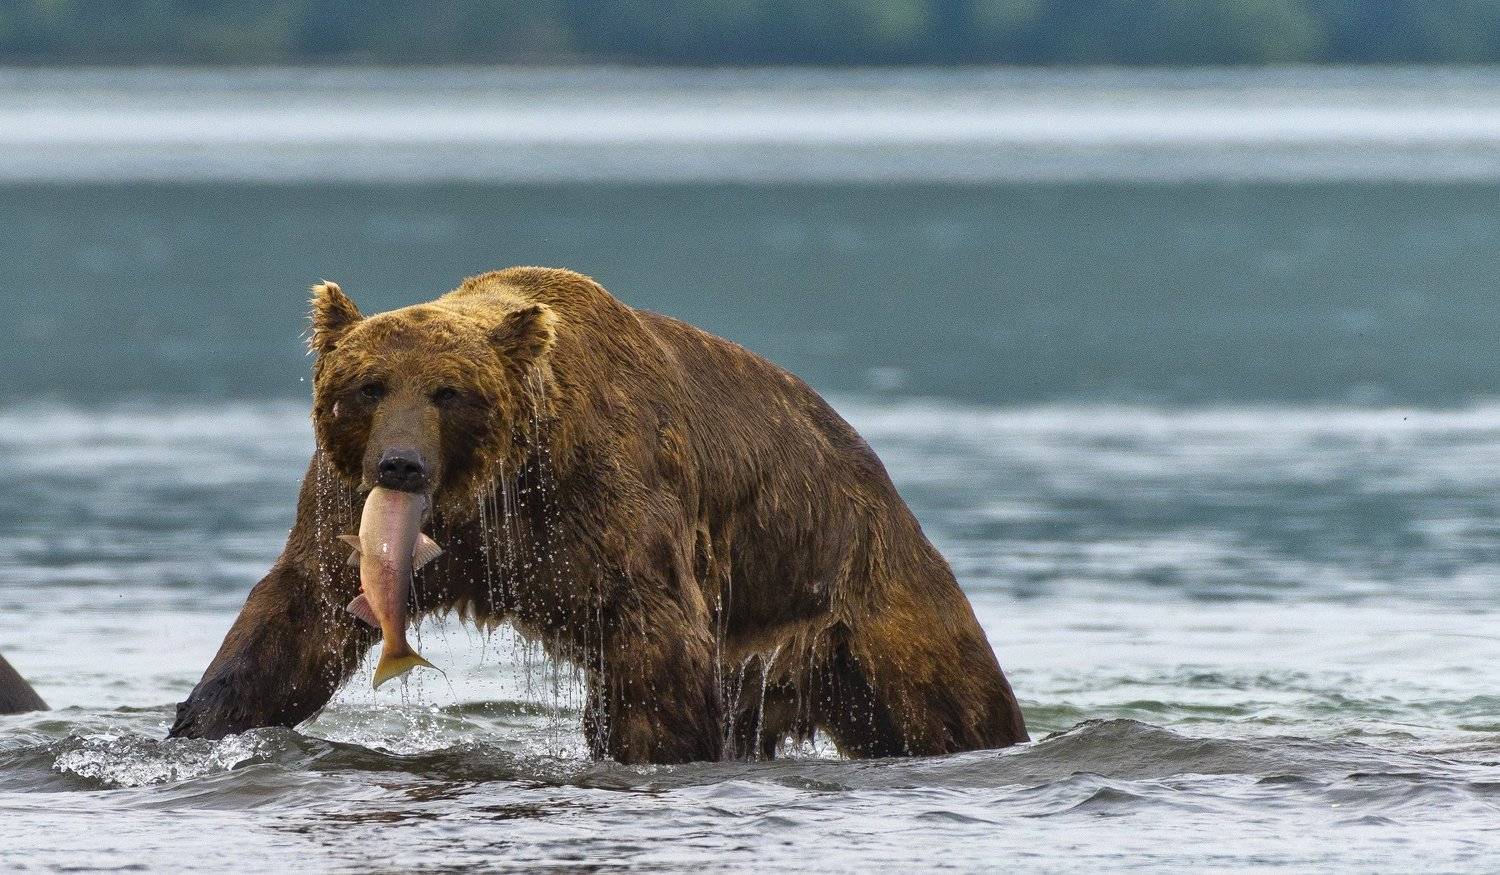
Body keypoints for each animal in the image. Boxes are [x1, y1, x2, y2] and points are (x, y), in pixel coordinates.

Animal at [170, 267, 1028, 763]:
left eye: (450, 391)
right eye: (369, 385)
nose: (401, 465)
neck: (492, 486)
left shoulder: (603, 506)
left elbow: (654, 644)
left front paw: (656, 750)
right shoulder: (353, 509)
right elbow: (295, 621)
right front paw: (198, 724)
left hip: (861, 602)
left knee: (950, 705)